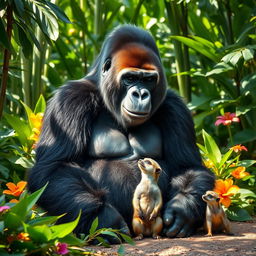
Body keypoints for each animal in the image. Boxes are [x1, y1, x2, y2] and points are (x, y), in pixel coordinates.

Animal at [28, 24, 214, 240]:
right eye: (130, 78)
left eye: (149, 80)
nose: (140, 94)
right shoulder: (68, 100)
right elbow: (54, 167)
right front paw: (104, 218)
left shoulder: (175, 106)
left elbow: (187, 166)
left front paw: (182, 208)